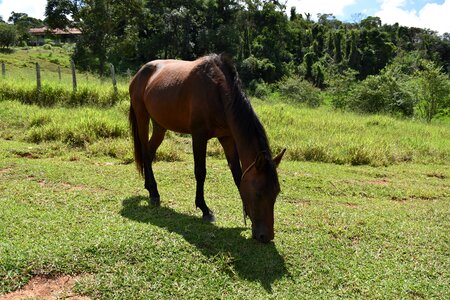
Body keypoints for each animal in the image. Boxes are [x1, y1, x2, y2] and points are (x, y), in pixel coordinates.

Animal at [129, 53, 284, 241]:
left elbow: (237, 175)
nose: (266, 236)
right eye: (258, 194)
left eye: (276, 193)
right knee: (145, 153)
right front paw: (204, 209)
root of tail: (139, 73)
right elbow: (200, 172)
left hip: (160, 125)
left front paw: (245, 212)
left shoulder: (227, 138)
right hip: (142, 117)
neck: (218, 91)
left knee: (150, 153)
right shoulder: (199, 136)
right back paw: (153, 193)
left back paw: (150, 188)